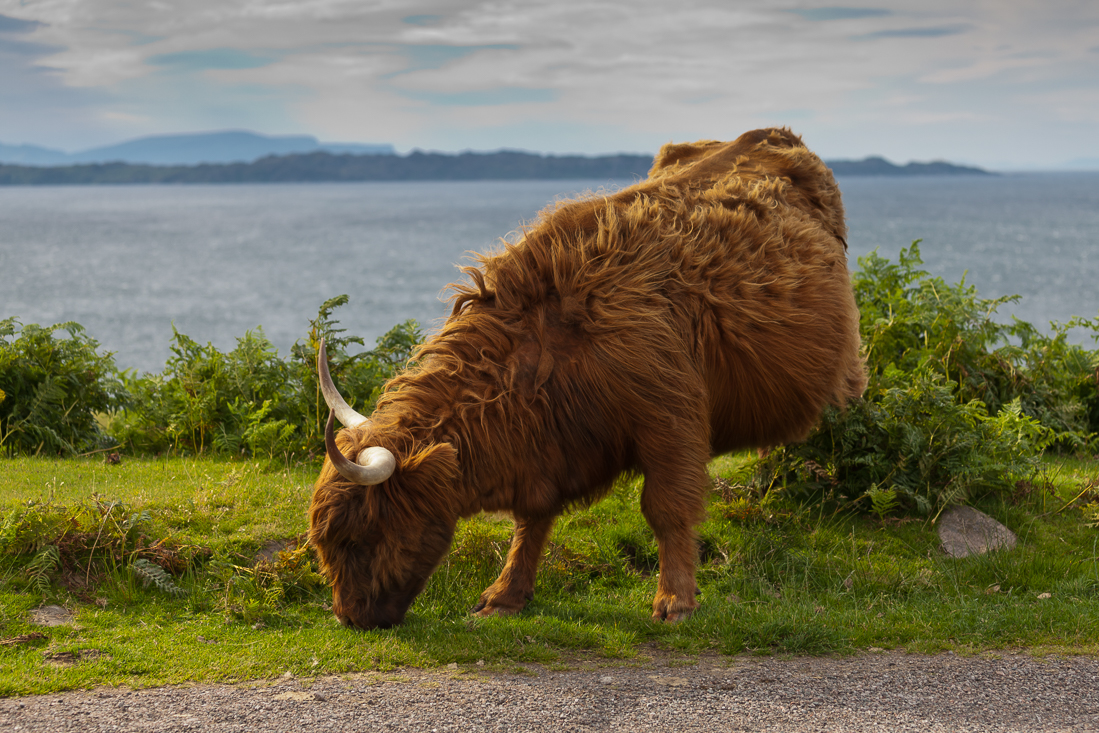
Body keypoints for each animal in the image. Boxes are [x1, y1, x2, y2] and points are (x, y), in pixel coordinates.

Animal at [309, 127, 866, 632]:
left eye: (362, 534)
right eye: (325, 539)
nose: (349, 618)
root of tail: (769, 133)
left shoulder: (671, 420)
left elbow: (667, 509)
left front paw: (676, 602)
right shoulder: (546, 450)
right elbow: (531, 520)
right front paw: (505, 596)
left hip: (847, 371)